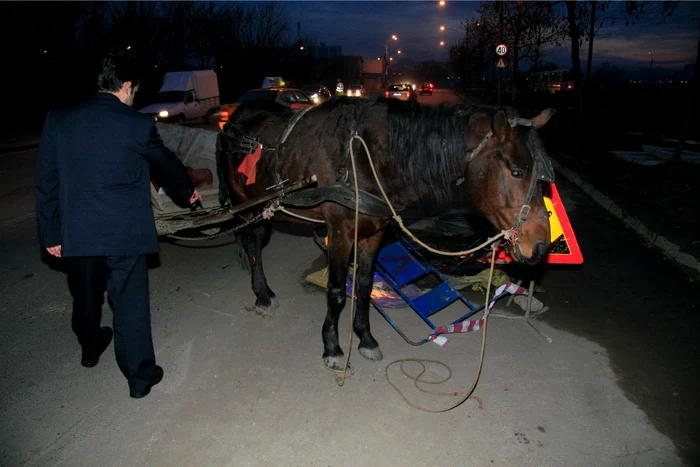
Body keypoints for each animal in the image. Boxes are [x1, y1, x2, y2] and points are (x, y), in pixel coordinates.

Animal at [216, 98, 556, 372]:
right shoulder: (340, 231)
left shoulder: (373, 232)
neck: (363, 155)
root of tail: (233, 118)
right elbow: (336, 291)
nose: (541, 245)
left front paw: (365, 338)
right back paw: (262, 295)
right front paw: (333, 348)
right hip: (243, 205)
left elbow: (365, 286)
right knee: (253, 244)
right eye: (516, 171)